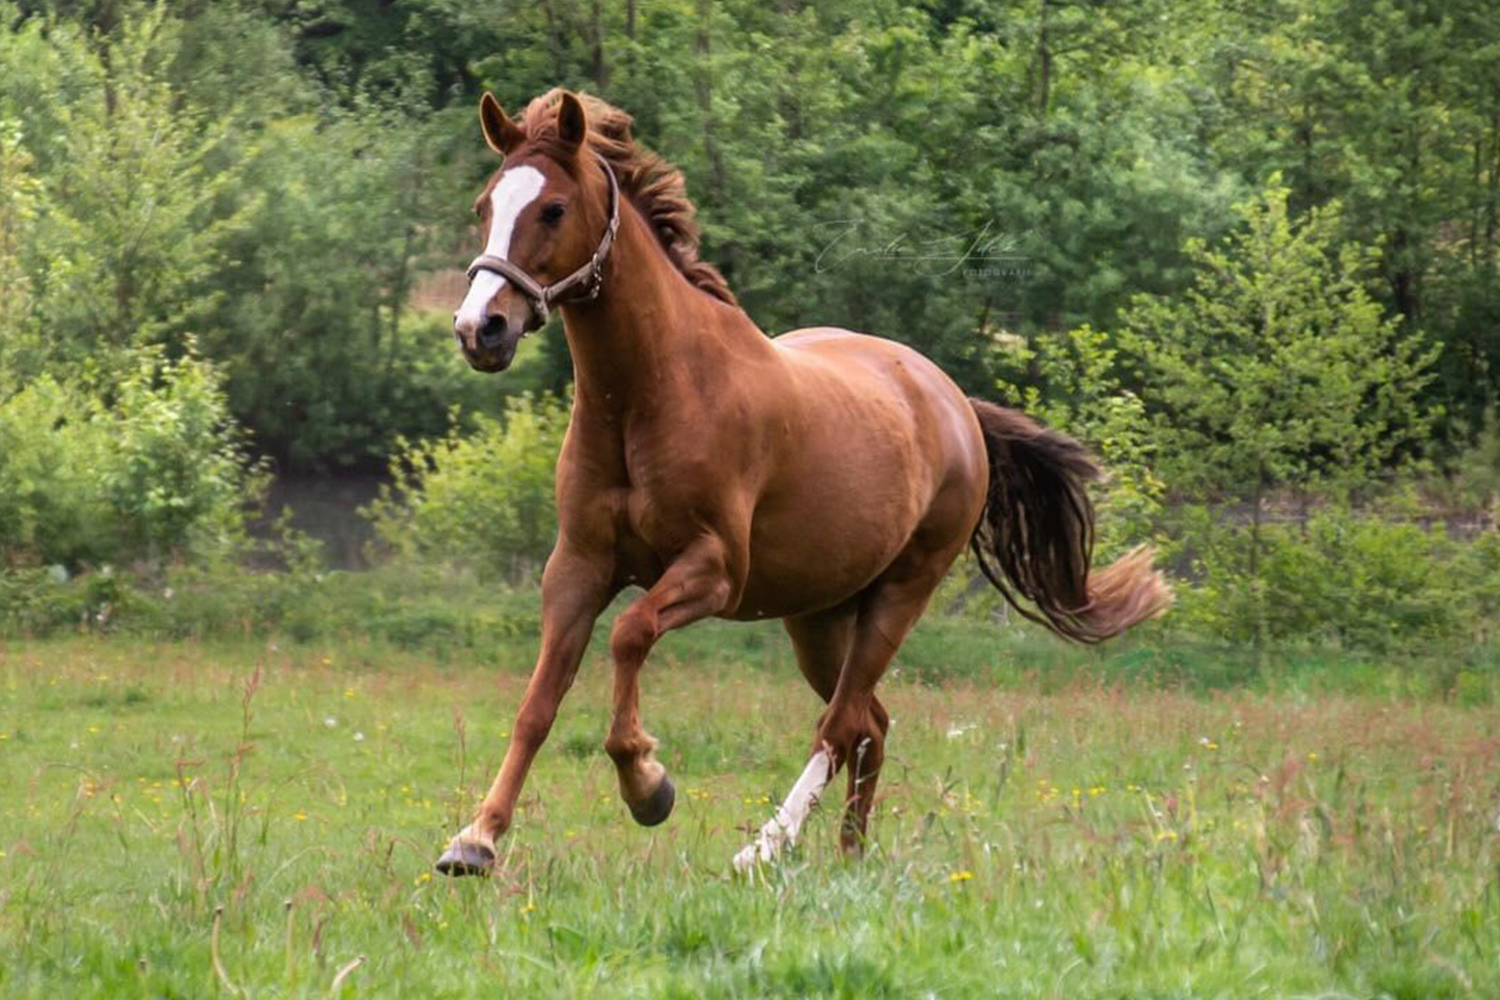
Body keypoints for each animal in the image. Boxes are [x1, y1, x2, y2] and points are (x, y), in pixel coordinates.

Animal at [438, 91, 1170, 875]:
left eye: (552, 209)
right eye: (484, 205)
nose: (480, 328)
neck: (652, 393)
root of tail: (956, 407)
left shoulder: (714, 571)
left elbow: (631, 634)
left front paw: (647, 784)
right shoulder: (576, 568)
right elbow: (538, 704)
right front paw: (475, 840)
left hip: (899, 596)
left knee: (840, 722)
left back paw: (764, 848)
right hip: (818, 618)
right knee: (870, 722)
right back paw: (849, 854)